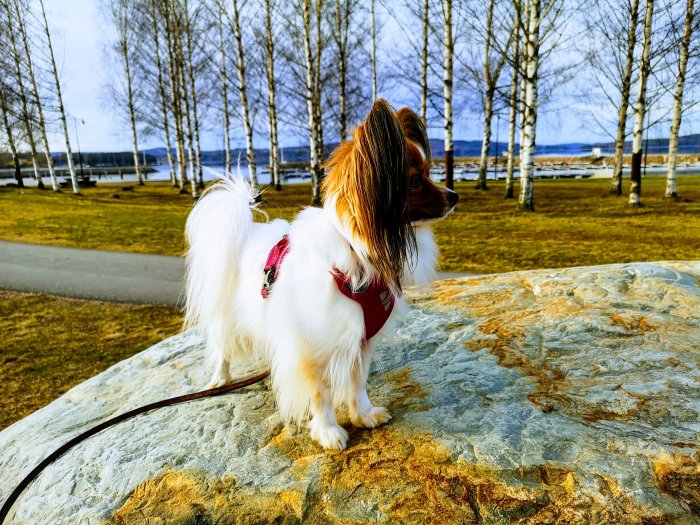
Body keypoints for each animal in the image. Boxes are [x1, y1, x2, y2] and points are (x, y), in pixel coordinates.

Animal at [185, 99, 460, 450]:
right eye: (414, 181)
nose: (455, 196)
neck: (356, 252)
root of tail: (245, 232)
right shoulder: (312, 346)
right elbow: (322, 393)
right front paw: (329, 431)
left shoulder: (359, 340)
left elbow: (357, 382)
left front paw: (363, 414)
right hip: (226, 317)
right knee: (222, 346)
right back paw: (220, 379)